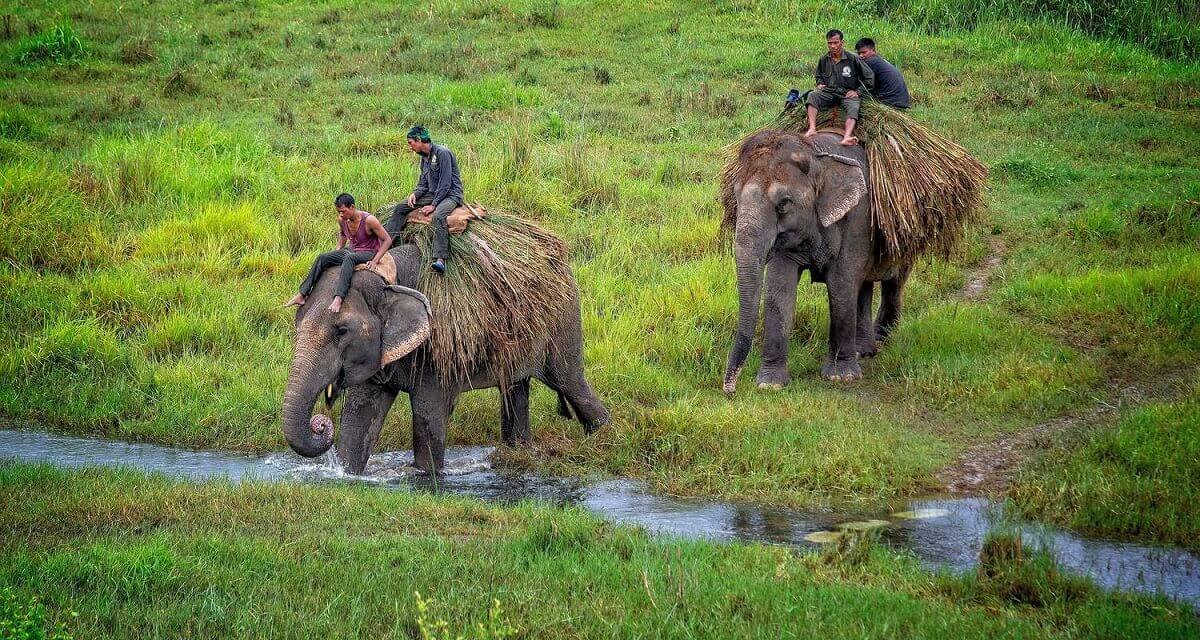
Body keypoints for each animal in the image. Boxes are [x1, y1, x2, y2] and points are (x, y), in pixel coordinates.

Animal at [280, 242, 609, 470]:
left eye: (341, 331)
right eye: (296, 321)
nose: (321, 424)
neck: (388, 279)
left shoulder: (438, 343)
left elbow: (428, 414)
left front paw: (428, 476)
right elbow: (360, 416)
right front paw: (347, 475)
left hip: (563, 319)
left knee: (570, 383)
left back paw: (603, 437)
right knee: (516, 388)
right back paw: (518, 452)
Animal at [720, 129, 907, 389]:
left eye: (783, 203)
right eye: (735, 198)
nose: (729, 389)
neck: (815, 153)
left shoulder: (858, 216)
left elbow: (841, 284)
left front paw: (841, 377)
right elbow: (778, 288)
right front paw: (770, 384)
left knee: (893, 278)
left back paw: (879, 339)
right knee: (864, 285)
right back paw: (863, 351)